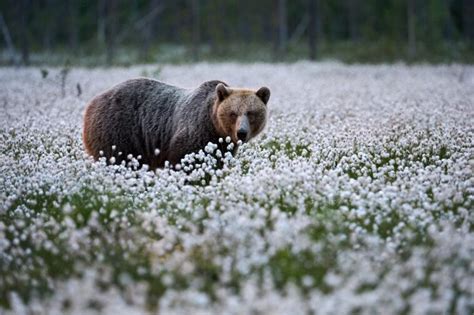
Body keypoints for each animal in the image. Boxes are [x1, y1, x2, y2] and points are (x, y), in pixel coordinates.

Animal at [82, 79, 270, 170]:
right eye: (233, 113)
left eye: (251, 113)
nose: (241, 132)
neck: (215, 128)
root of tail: (92, 102)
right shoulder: (196, 132)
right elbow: (185, 160)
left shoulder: (220, 146)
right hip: (119, 130)